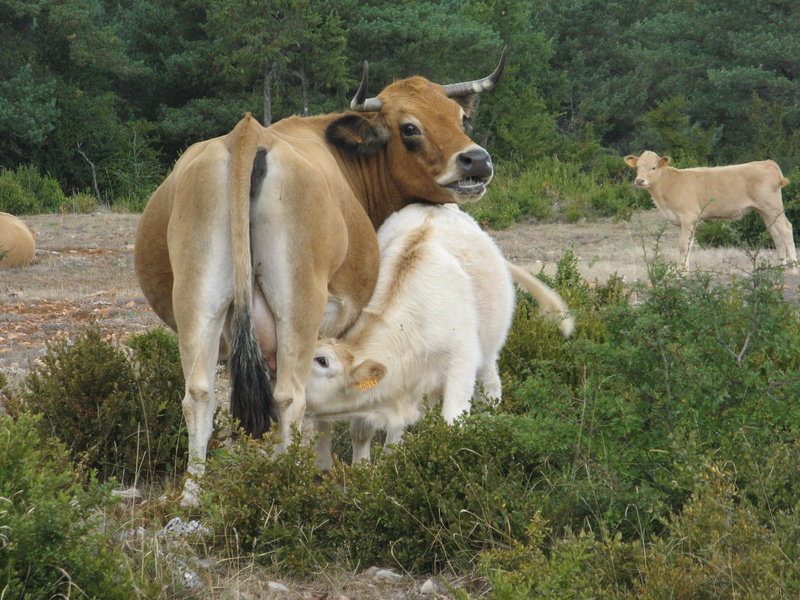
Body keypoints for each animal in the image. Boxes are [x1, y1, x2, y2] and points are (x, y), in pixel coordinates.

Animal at [134, 52, 507, 505]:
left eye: (459, 117)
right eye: (409, 127)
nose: (477, 161)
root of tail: (247, 135)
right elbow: (338, 409)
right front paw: (327, 465)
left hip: (197, 304)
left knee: (199, 395)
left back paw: (193, 493)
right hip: (298, 306)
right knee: (289, 397)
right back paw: (287, 482)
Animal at [305, 203, 574, 470]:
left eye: (322, 361)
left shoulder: (460, 367)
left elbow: (451, 427)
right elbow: (363, 433)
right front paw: (365, 470)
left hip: (488, 350)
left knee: (490, 389)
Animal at [624, 151, 797, 272]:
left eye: (653, 167)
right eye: (638, 167)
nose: (640, 180)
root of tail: (767, 163)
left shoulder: (689, 216)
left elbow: (684, 245)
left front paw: (682, 273)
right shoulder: (681, 221)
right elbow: (687, 244)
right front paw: (684, 270)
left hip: (773, 207)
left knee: (786, 229)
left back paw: (793, 267)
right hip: (765, 211)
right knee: (776, 234)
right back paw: (780, 267)